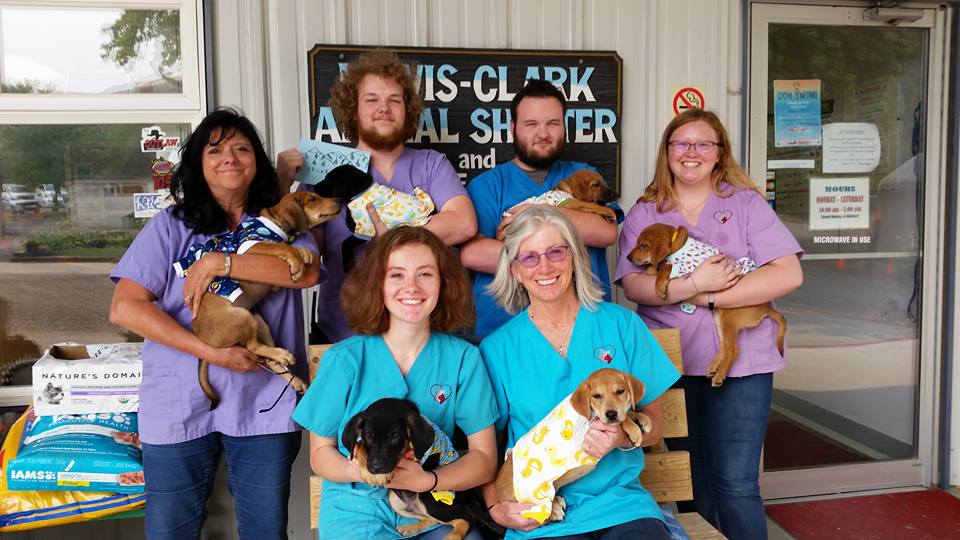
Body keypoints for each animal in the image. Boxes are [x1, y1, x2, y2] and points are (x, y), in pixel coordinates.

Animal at [188, 192, 342, 408]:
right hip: (243, 318)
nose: (339, 200)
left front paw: (303, 255)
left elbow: (289, 248)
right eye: (313, 199)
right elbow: (282, 247)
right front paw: (297, 264)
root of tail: (203, 338)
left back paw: (292, 374)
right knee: (253, 346)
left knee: (267, 357)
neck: (276, 222)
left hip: (259, 321)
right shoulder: (251, 245)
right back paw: (283, 356)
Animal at [342, 396, 502, 540]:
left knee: (466, 518)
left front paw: (381, 475)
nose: (376, 467)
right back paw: (411, 527)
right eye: (368, 436)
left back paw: (453, 536)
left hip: (430, 500)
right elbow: (361, 448)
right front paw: (368, 470)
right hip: (395, 501)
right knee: (430, 519)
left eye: (395, 435)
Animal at [496, 368, 652, 524]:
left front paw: (643, 419)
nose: (611, 414)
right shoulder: (586, 429)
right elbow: (621, 421)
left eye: (620, 391)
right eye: (596, 396)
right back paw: (554, 511)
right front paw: (634, 430)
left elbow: (627, 413)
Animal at [632, 224, 788, 388]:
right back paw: (713, 367)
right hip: (720, 320)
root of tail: (766, 307)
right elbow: (658, 266)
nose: (628, 257)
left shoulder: (685, 270)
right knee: (724, 348)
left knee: (733, 350)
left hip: (729, 320)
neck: (678, 244)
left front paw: (659, 286)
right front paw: (649, 271)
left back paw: (719, 376)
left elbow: (666, 267)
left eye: (643, 245)